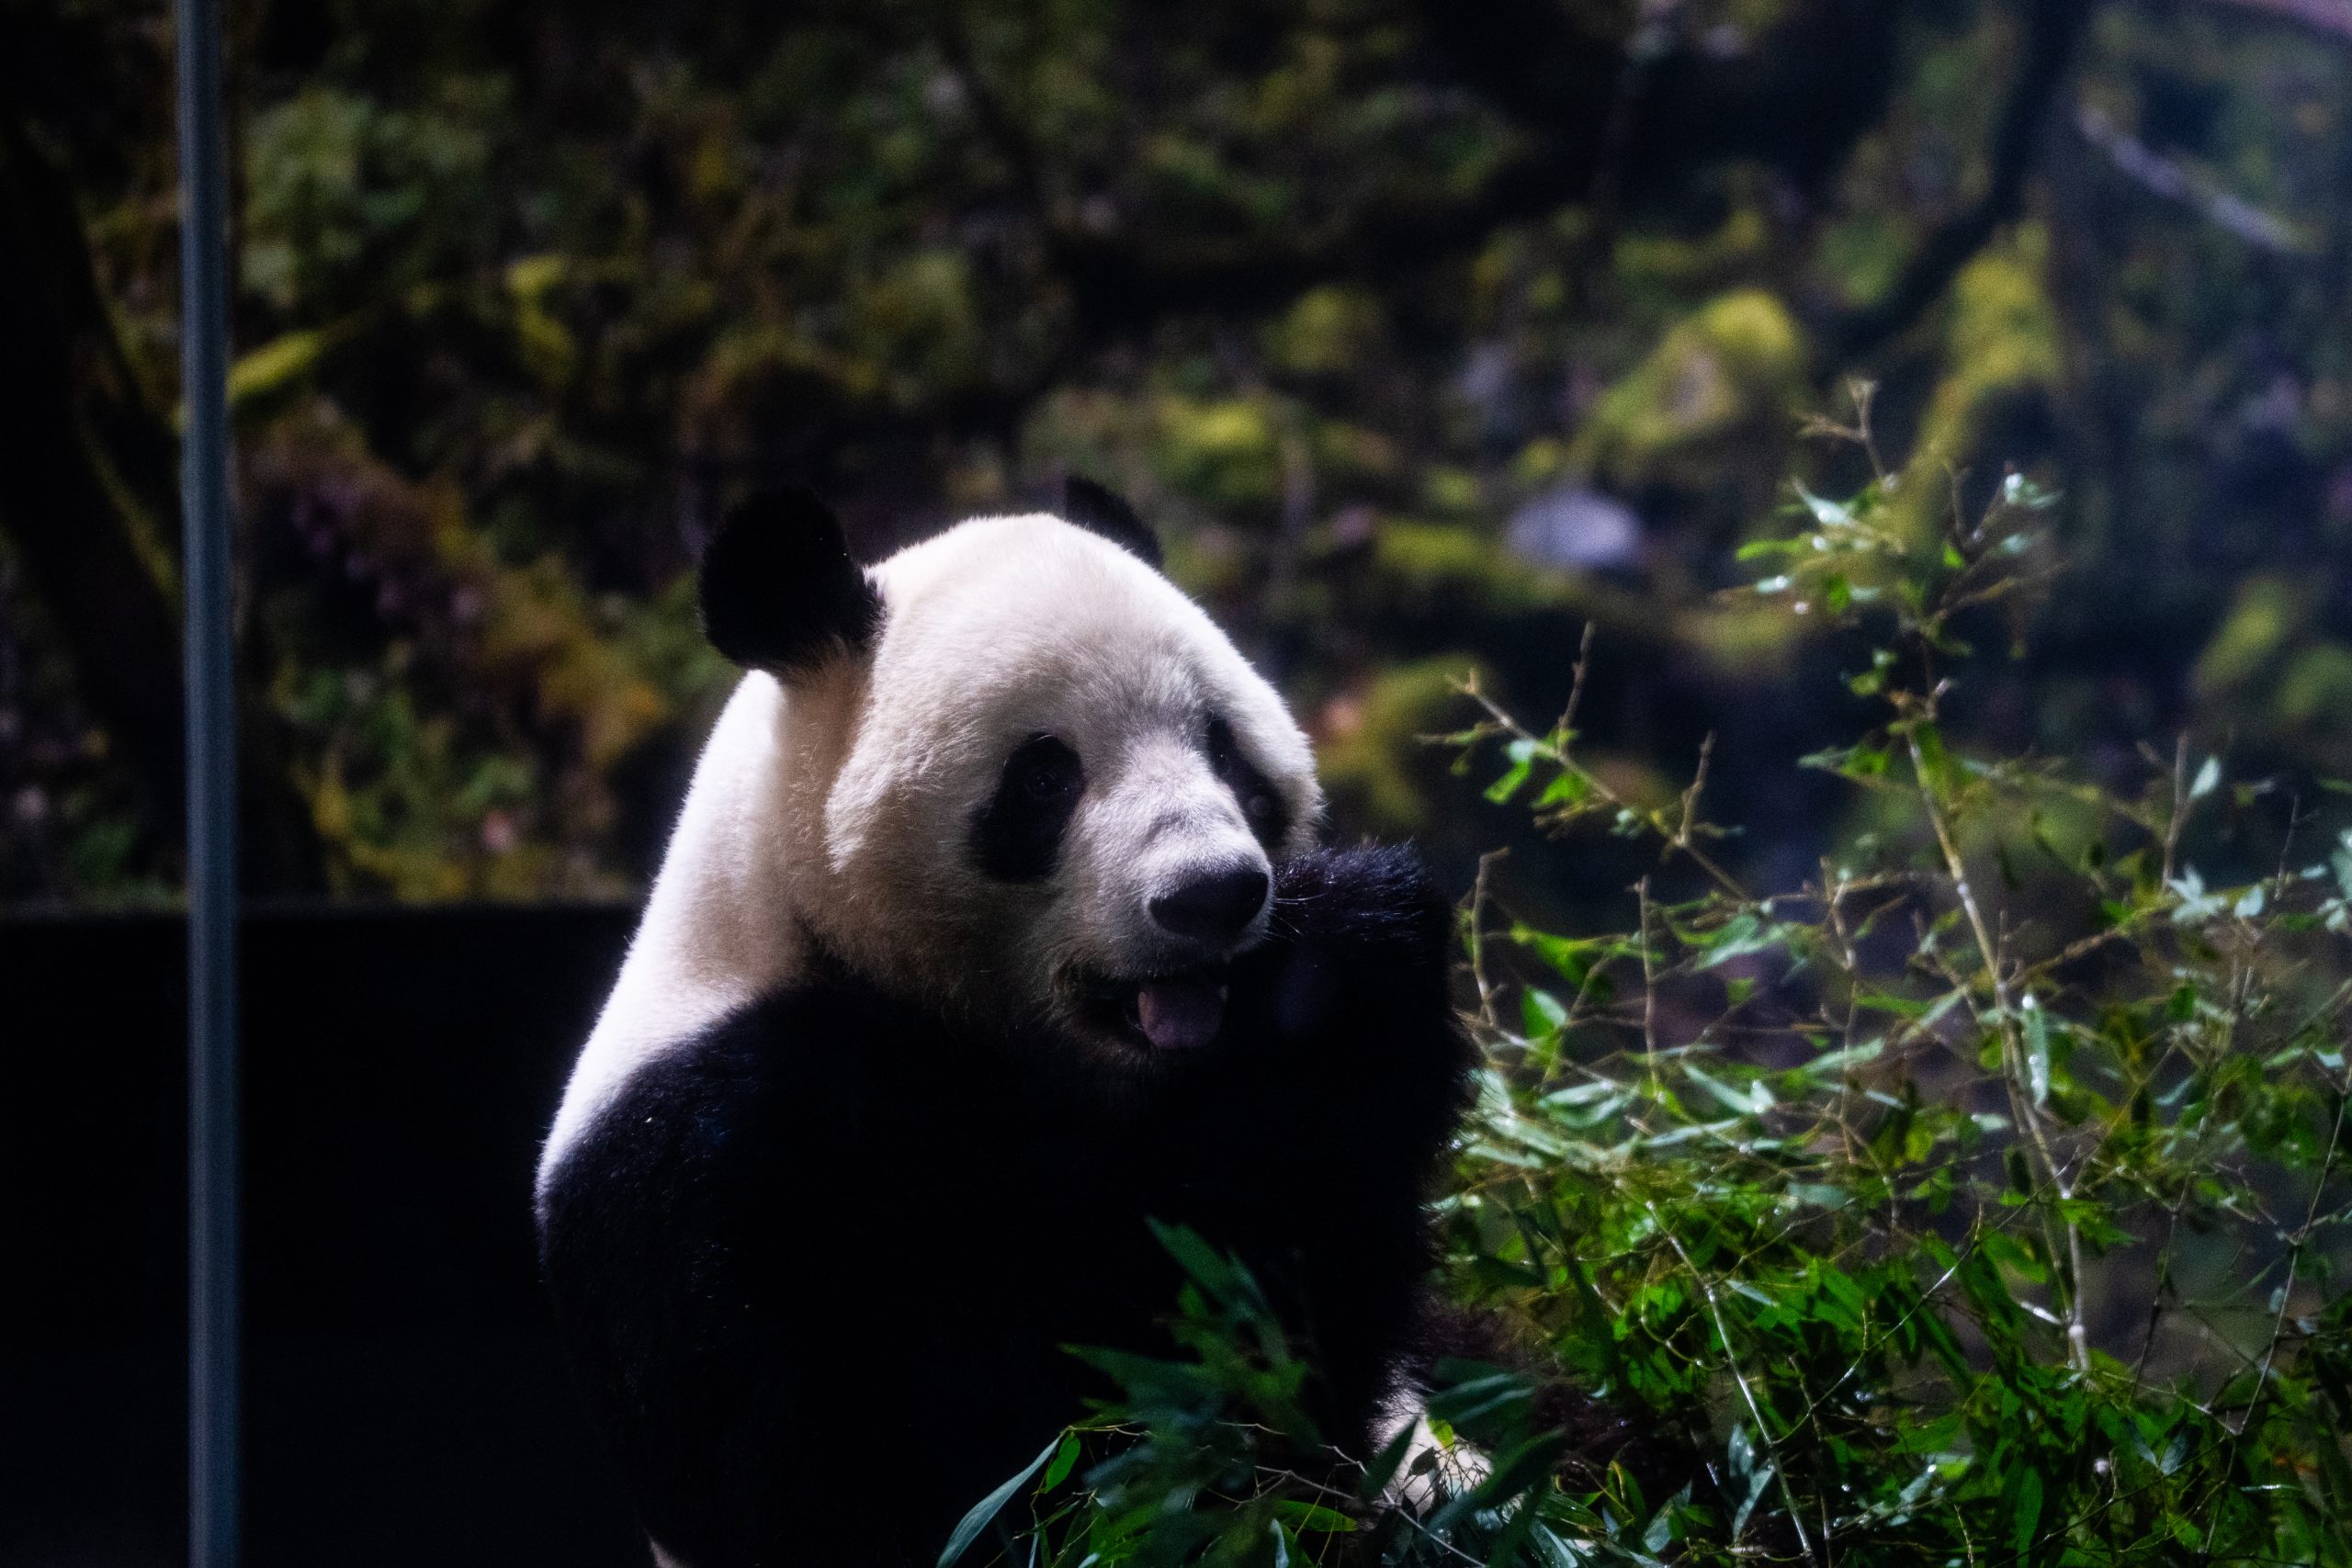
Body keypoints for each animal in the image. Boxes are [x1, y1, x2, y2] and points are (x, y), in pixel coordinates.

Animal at [535, 479, 1477, 1568]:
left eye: (1223, 746)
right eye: (1044, 775)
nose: (1211, 894)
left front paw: (1344, 964)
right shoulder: (720, 1162)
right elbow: (985, 1454)